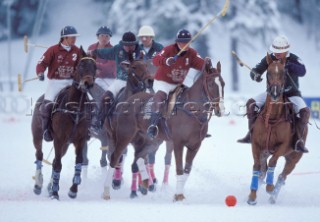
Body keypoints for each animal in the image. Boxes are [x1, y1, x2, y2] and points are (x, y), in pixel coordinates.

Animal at [32, 52, 98, 199]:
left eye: (95, 67)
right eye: (81, 65)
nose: (88, 83)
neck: (75, 107)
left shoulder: (80, 139)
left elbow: (78, 161)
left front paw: (73, 190)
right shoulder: (59, 139)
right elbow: (58, 165)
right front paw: (55, 193)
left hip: (66, 145)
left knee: (54, 160)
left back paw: (49, 186)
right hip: (37, 135)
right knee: (39, 155)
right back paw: (38, 185)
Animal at [102, 59, 225, 200]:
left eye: (223, 84)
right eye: (211, 84)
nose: (220, 110)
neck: (192, 111)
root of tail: (127, 100)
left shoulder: (195, 146)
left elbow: (187, 171)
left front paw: (178, 194)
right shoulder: (178, 143)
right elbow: (179, 169)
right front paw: (178, 196)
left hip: (148, 141)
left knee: (138, 157)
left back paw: (146, 183)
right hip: (124, 135)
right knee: (115, 158)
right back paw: (107, 191)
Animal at [246, 53, 306, 205]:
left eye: (284, 73)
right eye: (268, 72)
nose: (274, 92)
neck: (272, 118)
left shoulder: (282, 146)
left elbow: (273, 162)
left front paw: (270, 187)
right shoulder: (257, 145)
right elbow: (256, 167)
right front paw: (252, 197)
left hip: (294, 157)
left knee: (282, 176)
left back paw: (273, 195)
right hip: (265, 152)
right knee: (263, 171)